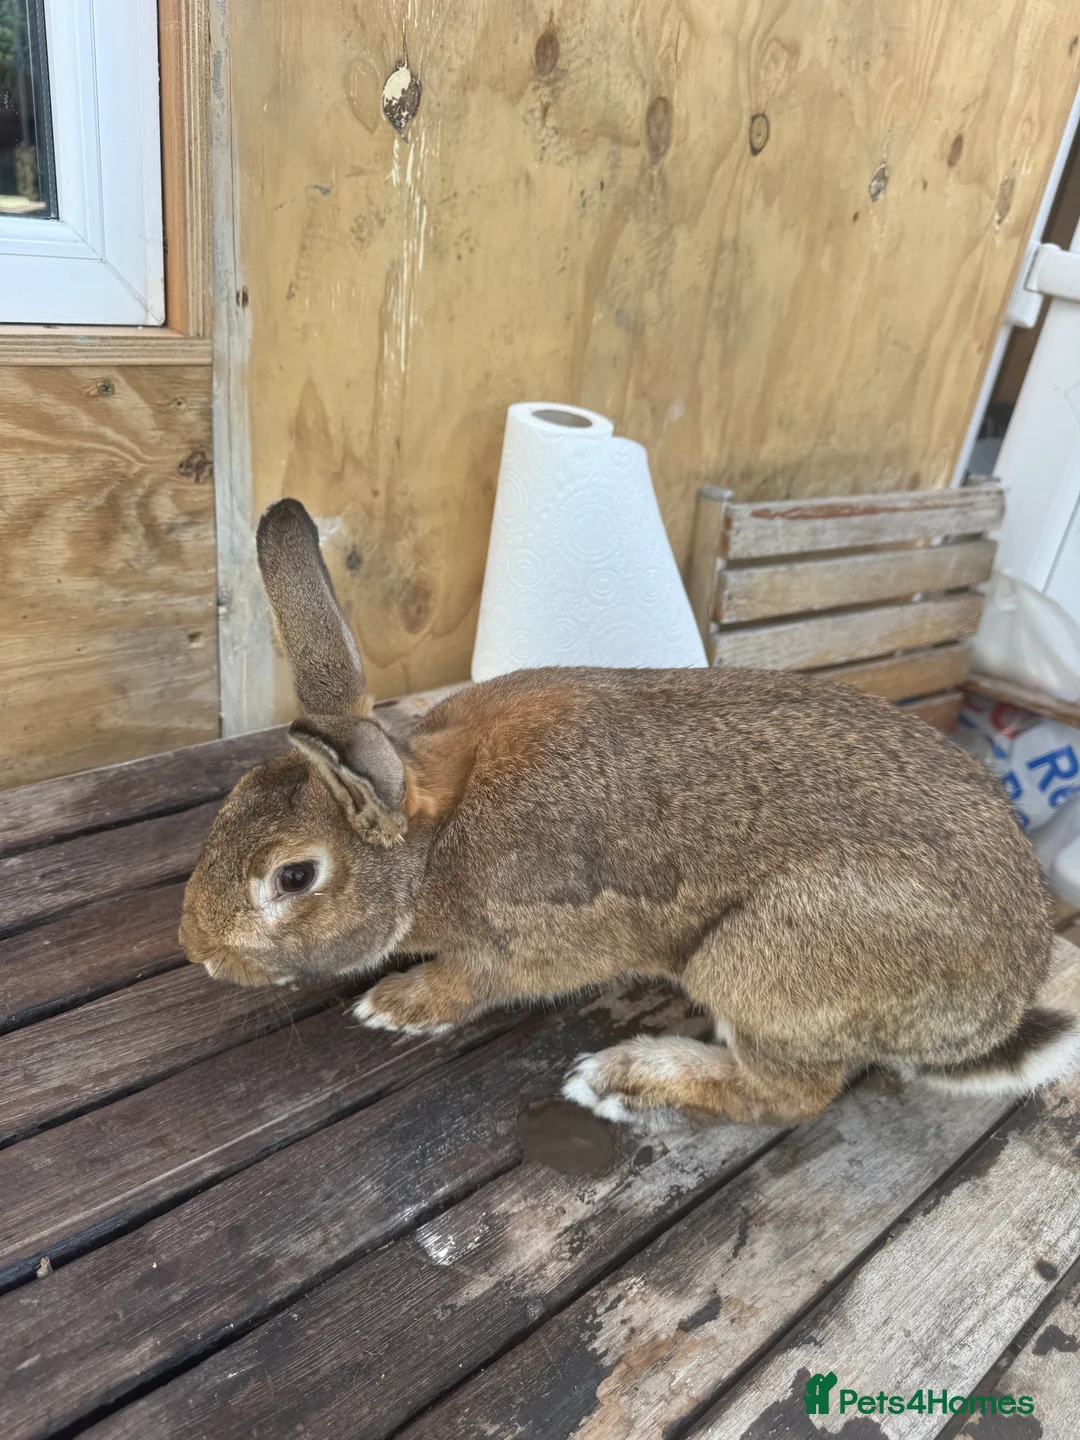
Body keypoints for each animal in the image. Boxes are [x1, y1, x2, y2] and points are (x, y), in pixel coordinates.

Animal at [179, 497, 1079, 1127]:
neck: (432, 840)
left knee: (789, 1097)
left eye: (294, 877)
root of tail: (998, 1005)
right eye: (235, 800)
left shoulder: (522, 946)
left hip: (759, 961)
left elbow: (473, 980)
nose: (197, 952)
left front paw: (396, 1007)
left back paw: (621, 1077)